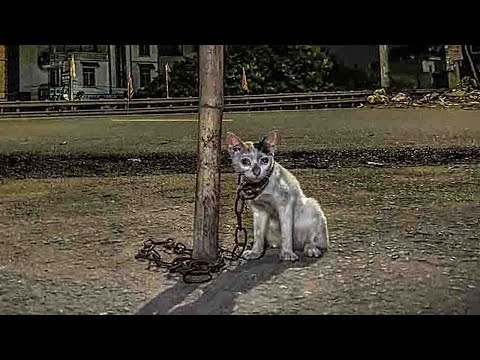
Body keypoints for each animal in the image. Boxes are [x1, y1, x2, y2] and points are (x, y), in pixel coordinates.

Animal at [227, 129, 328, 262]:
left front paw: (287, 253)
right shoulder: (259, 210)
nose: (256, 172)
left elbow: (286, 232)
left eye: (264, 161)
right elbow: (258, 234)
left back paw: (311, 248)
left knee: (315, 241)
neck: (261, 186)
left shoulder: (285, 205)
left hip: (312, 206)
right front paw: (256, 252)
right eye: (245, 162)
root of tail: (298, 245)